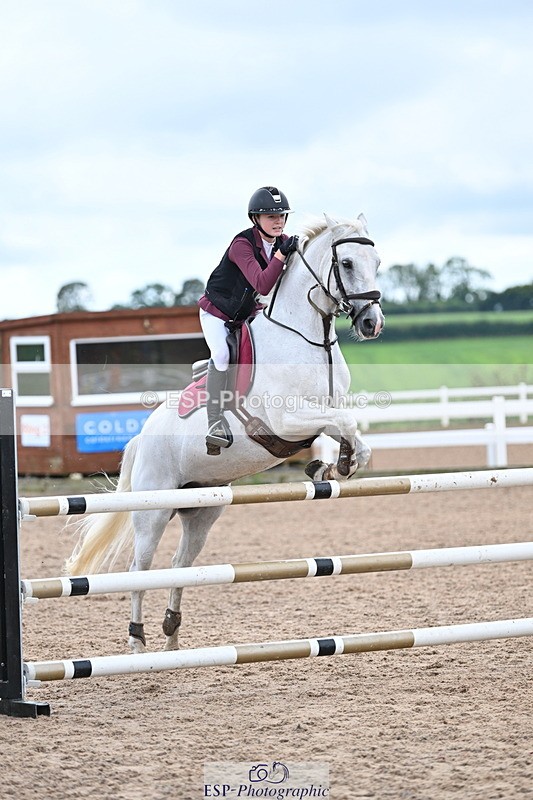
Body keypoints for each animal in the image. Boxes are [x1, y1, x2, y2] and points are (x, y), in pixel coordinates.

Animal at [66, 213, 385, 653]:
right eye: (348, 263)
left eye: (378, 263)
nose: (372, 323)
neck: (309, 337)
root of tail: (140, 439)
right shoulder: (285, 421)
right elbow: (343, 423)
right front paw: (334, 465)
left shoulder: (323, 411)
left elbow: (347, 429)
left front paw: (336, 466)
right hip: (153, 510)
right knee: (140, 568)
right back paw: (137, 642)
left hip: (202, 510)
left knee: (180, 565)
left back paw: (171, 638)